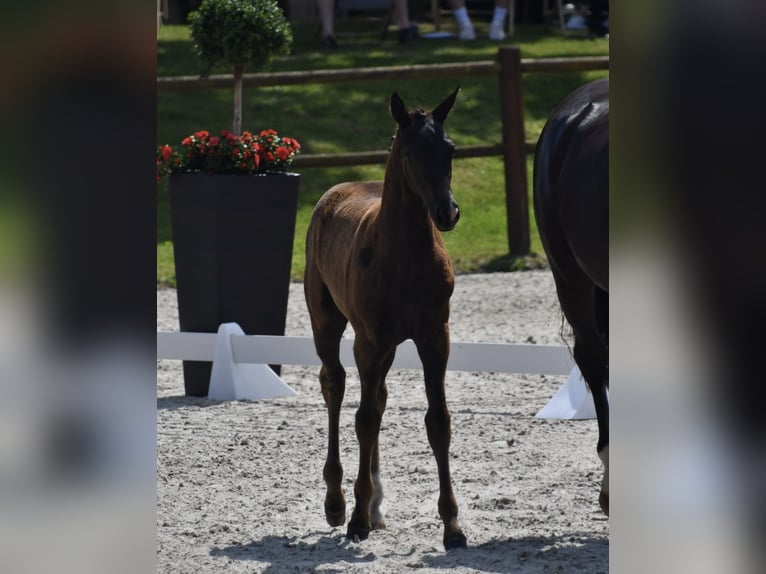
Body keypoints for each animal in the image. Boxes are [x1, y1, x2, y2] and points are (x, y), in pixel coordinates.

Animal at [304, 86, 467, 550]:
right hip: (328, 325)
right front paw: (355, 517)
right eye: (410, 152)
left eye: (450, 149)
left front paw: (452, 526)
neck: (404, 255)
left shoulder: (434, 337)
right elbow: (363, 420)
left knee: (378, 399)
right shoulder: (370, 341)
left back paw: (375, 505)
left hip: (389, 345)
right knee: (335, 386)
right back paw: (339, 503)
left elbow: (437, 422)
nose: (447, 213)